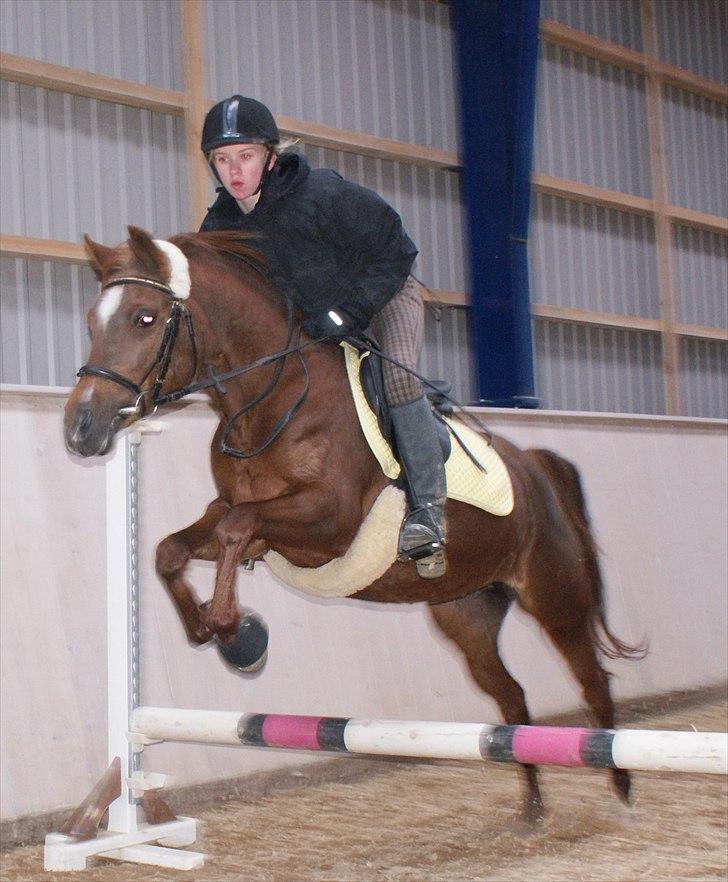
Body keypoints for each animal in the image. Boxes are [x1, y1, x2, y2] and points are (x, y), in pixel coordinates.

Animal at [64, 223, 644, 820]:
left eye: (145, 317)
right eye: (92, 321)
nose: (82, 428)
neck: (271, 401)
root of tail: (536, 467)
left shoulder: (326, 521)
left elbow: (235, 530)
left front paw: (239, 635)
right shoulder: (237, 516)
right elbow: (172, 549)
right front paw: (208, 627)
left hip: (555, 598)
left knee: (593, 681)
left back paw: (621, 790)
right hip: (467, 614)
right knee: (510, 694)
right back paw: (531, 801)